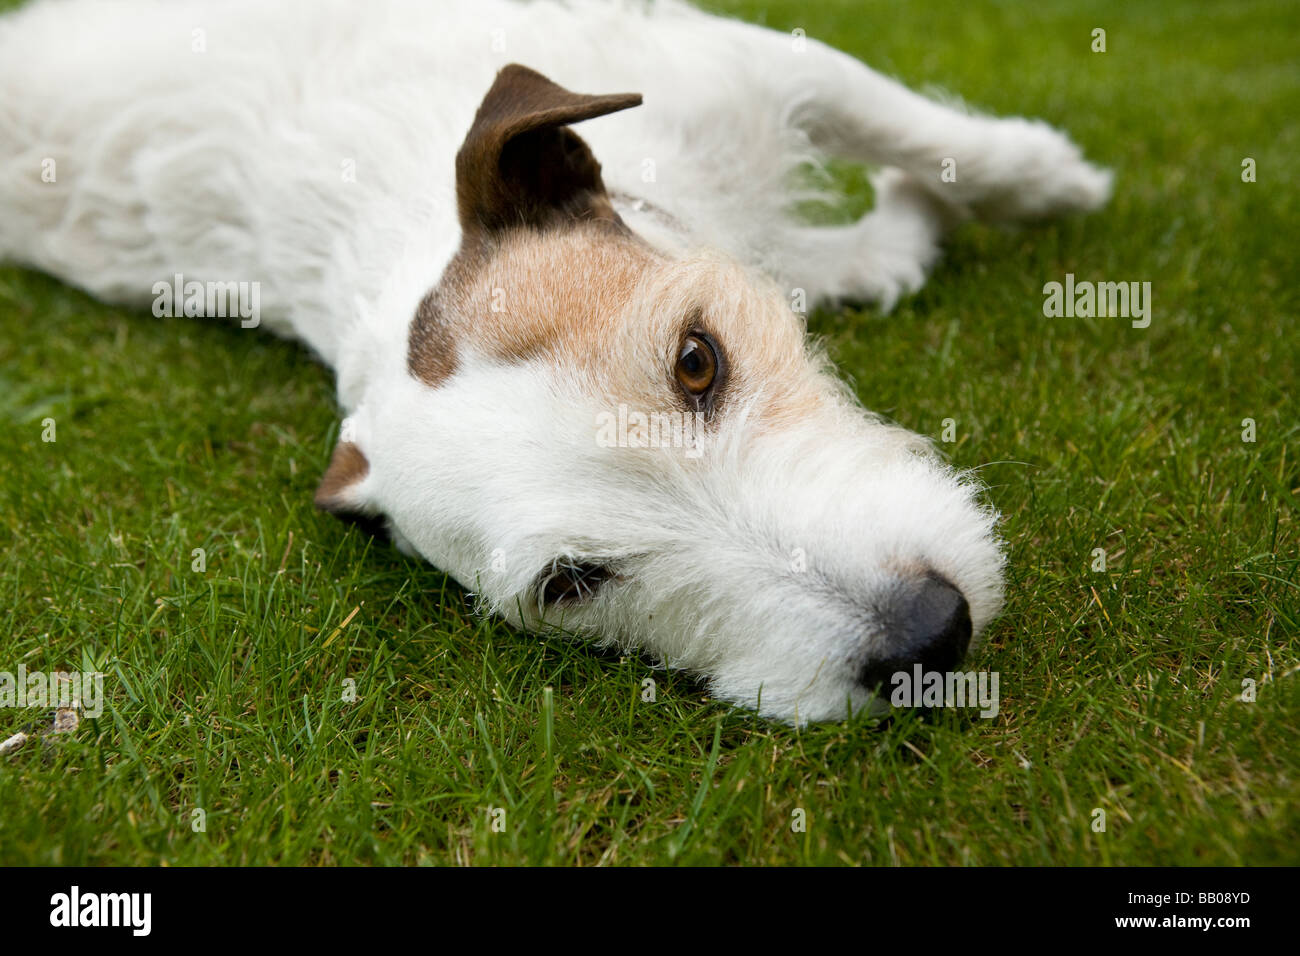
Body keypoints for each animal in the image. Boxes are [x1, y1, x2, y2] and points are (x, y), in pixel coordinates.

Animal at [0, 0, 1112, 723]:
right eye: (572, 583)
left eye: (697, 359)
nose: (928, 636)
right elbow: (872, 242)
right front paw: (912, 224)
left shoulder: (739, 68)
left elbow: (912, 127)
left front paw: (1053, 176)